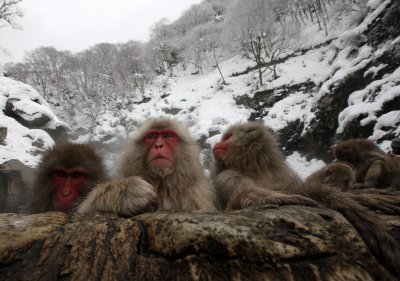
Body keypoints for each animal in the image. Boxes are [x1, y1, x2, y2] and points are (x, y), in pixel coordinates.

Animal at [77, 117, 216, 215]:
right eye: (152, 136)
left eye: (168, 136)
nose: (159, 145)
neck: (162, 185)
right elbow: (86, 209)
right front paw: (128, 192)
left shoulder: (196, 195)